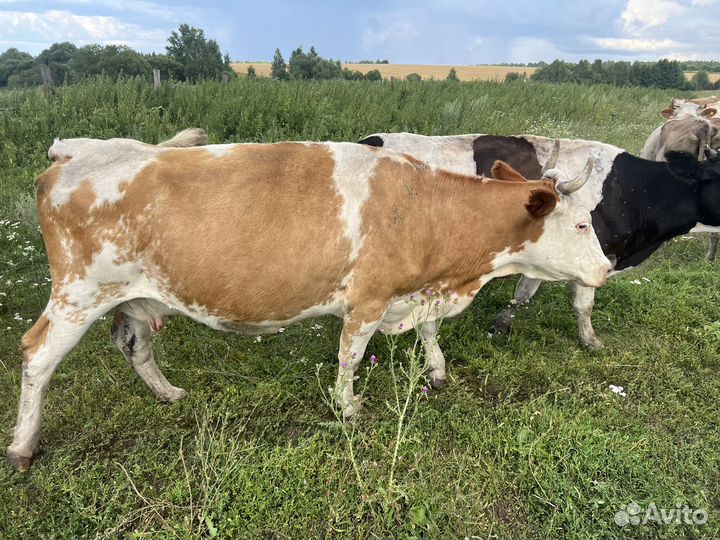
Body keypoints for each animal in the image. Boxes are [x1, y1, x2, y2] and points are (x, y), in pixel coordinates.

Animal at [7, 130, 611, 471]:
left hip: (127, 297)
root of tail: (74, 154)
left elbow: (428, 331)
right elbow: (349, 355)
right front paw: (349, 407)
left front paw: (437, 371)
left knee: (132, 343)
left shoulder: (413, 291)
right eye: (582, 223)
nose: (607, 269)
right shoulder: (369, 296)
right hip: (79, 292)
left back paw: (168, 393)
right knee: (37, 355)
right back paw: (22, 446)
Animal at [359, 132, 720, 350]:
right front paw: (590, 341)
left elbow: (524, 293)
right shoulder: (594, 254)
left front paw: (500, 327)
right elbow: (583, 304)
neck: (630, 189)